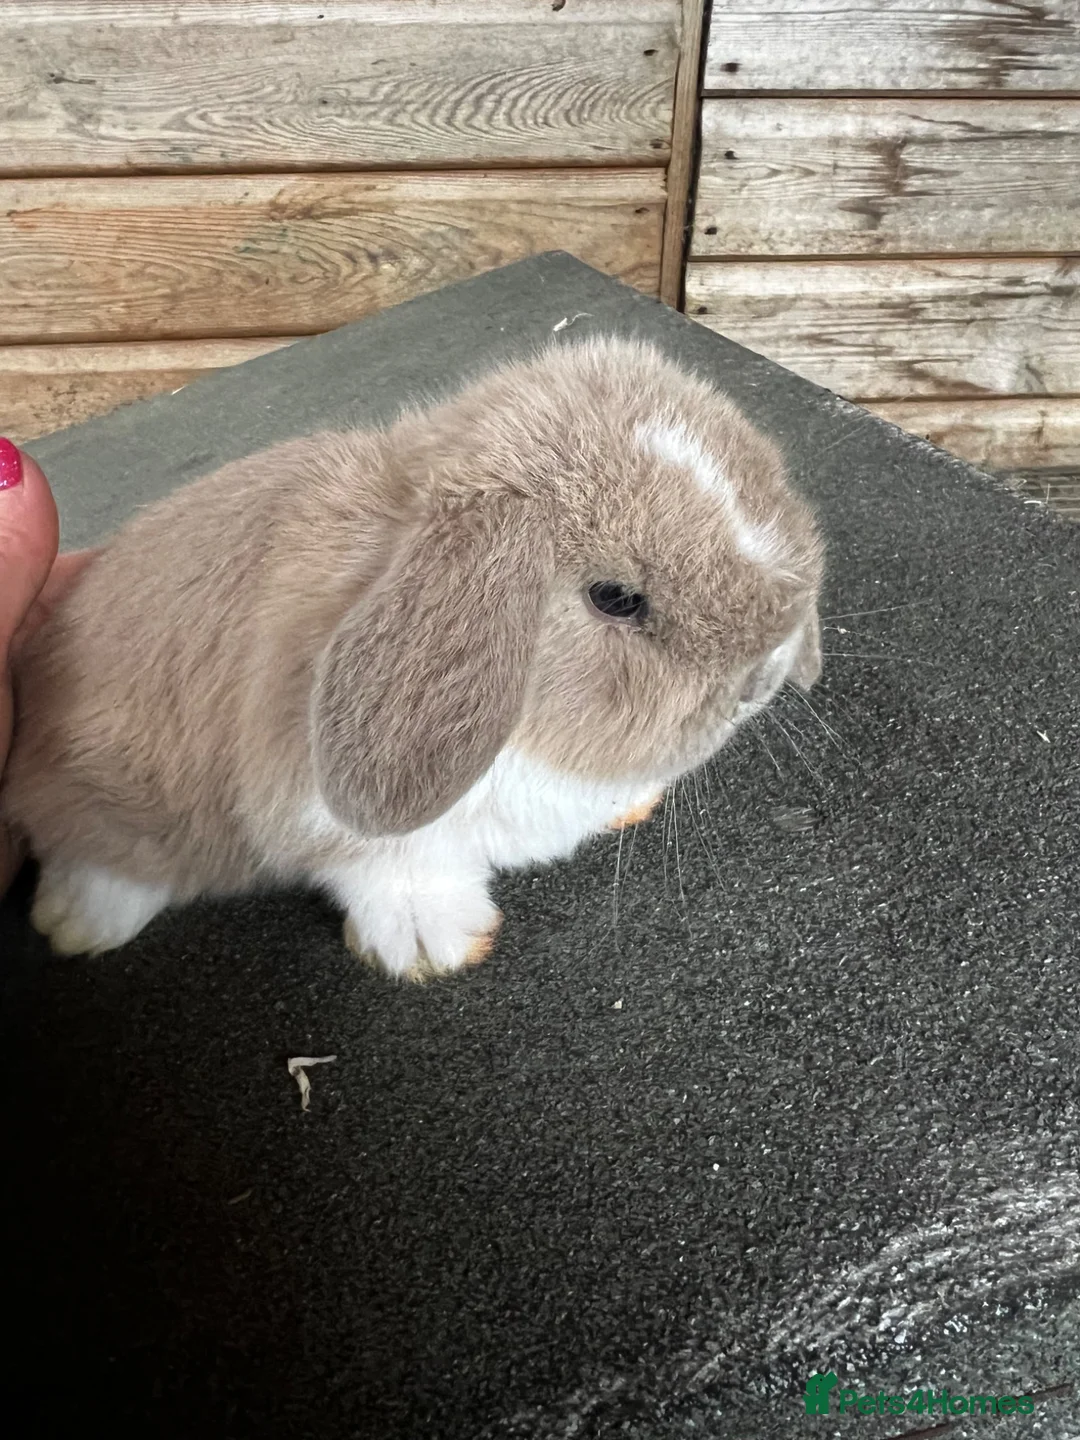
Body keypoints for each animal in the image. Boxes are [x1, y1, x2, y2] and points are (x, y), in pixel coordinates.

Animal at [2, 336, 824, 980]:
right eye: (616, 597)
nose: (763, 678)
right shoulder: (332, 817)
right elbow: (393, 873)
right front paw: (438, 945)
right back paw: (77, 923)